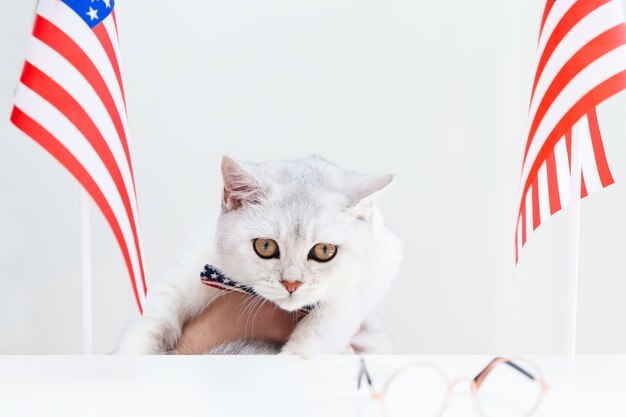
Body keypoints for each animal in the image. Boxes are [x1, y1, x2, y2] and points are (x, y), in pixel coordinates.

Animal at [116, 154, 400, 356]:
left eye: (324, 251)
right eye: (265, 246)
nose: (291, 284)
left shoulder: (383, 258)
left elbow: (329, 319)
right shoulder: (197, 261)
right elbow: (153, 315)